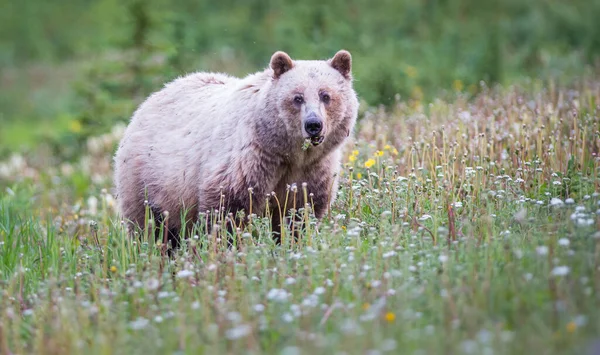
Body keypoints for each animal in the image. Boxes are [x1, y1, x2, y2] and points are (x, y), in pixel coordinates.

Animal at [112, 49, 356, 245]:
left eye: (326, 95)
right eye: (297, 97)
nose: (313, 124)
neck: (287, 153)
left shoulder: (313, 170)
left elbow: (301, 213)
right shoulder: (249, 162)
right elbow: (227, 211)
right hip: (147, 179)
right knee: (148, 225)